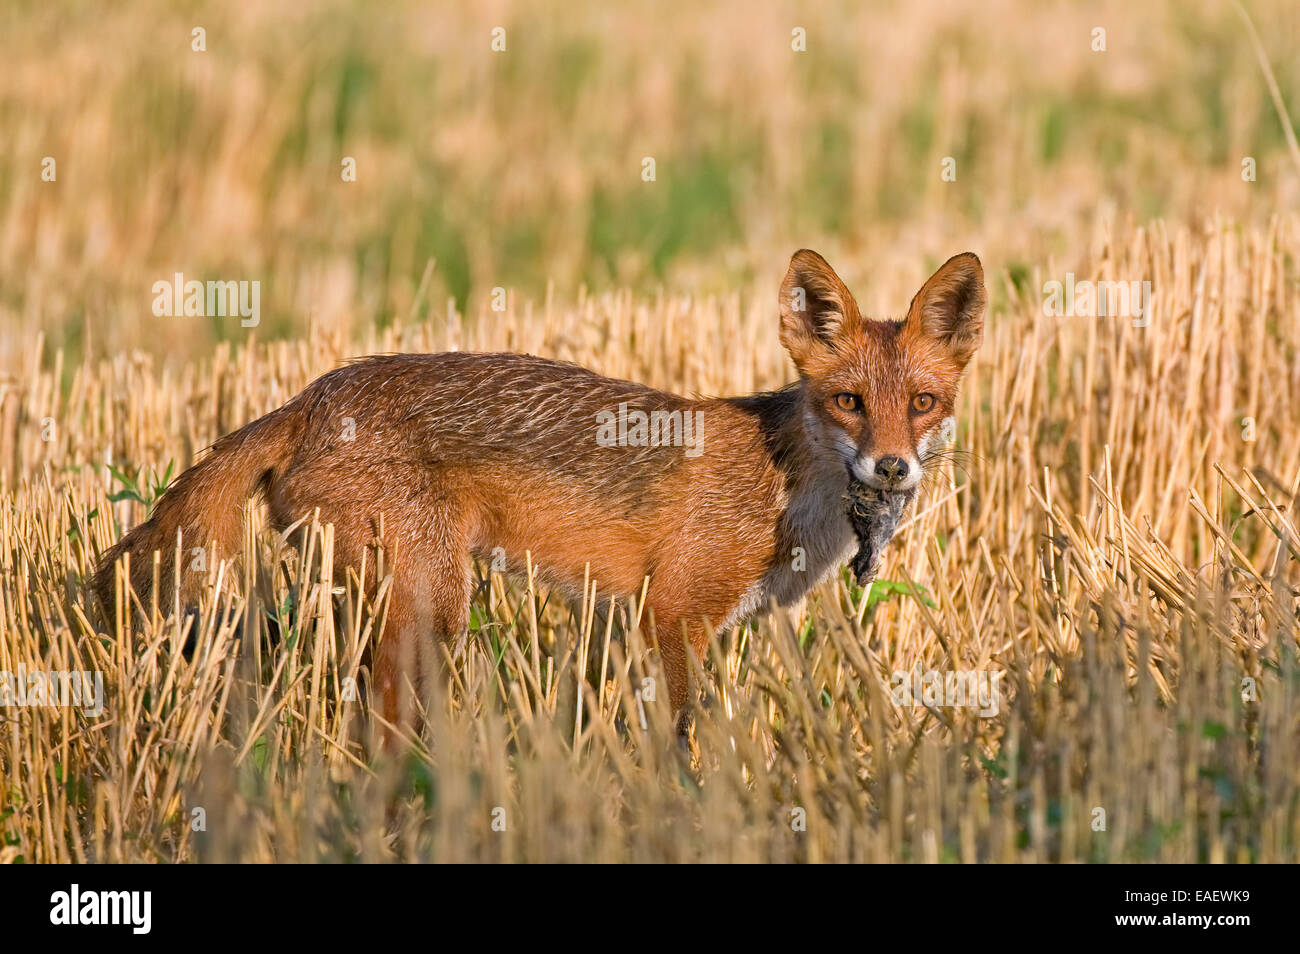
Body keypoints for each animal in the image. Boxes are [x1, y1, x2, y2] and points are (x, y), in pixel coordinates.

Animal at [92, 249, 985, 738]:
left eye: (922, 403)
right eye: (848, 402)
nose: (891, 469)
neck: (784, 485)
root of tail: (309, 397)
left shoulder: (743, 619)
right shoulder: (673, 613)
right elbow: (684, 737)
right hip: (429, 603)